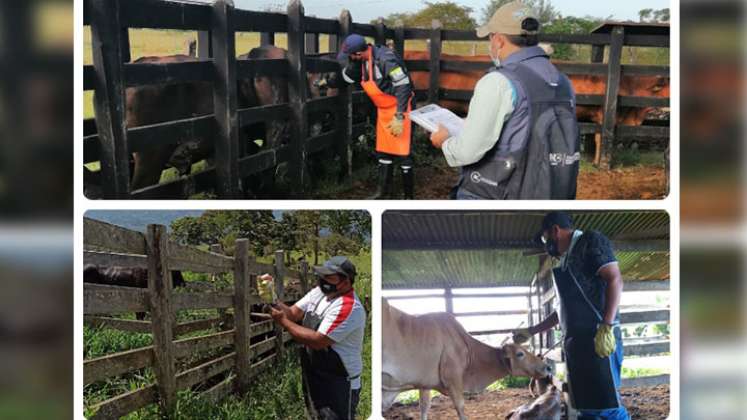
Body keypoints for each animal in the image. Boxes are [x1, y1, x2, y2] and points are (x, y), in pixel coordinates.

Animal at [382, 298, 552, 420]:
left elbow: (424, 407)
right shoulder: (453, 378)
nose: (548, 367)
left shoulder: (424, 383)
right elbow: (460, 407)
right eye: (520, 354)